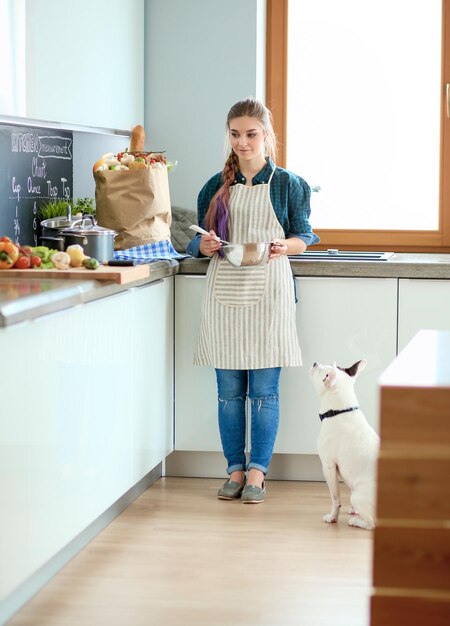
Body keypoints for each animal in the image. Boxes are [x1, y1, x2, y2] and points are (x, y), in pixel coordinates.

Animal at [310, 358, 380, 528]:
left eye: (322, 372)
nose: (315, 363)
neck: (340, 411)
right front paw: (353, 510)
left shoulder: (328, 466)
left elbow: (335, 498)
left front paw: (332, 517)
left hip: (359, 495)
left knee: (372, 523)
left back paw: (356, 522)